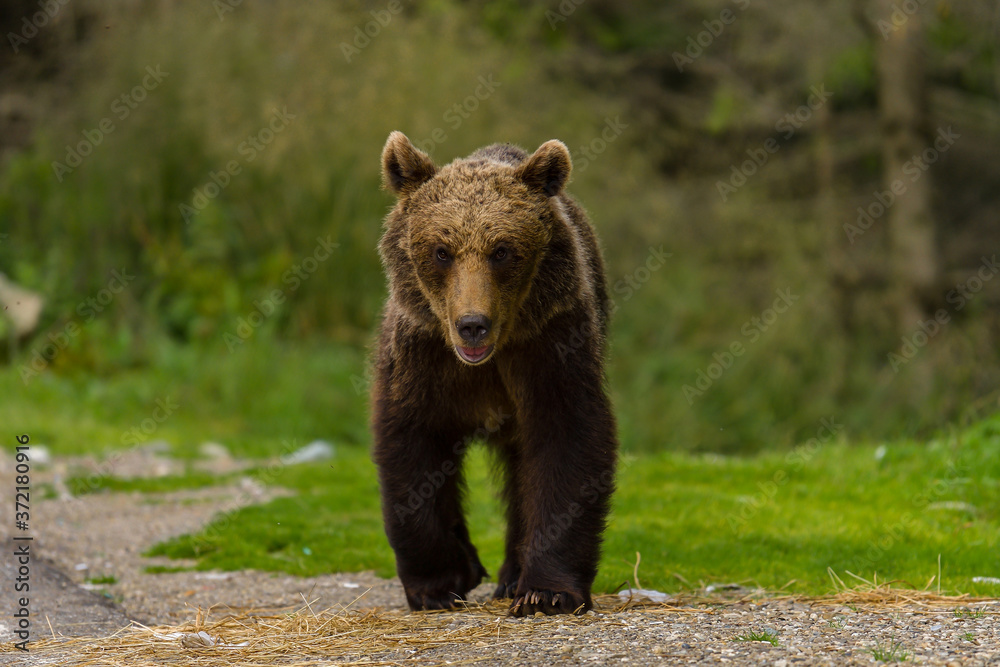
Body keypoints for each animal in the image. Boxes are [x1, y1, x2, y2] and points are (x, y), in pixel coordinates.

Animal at [370, 130, 616, 616]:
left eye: (502, 250)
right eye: (441, 251)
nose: (472, 323)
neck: (485, 361)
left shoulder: (549, 348)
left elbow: (568, 443)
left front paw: (547, 591)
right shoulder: (422, 357)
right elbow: (412, 447)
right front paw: (439, 584)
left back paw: (512, 576)